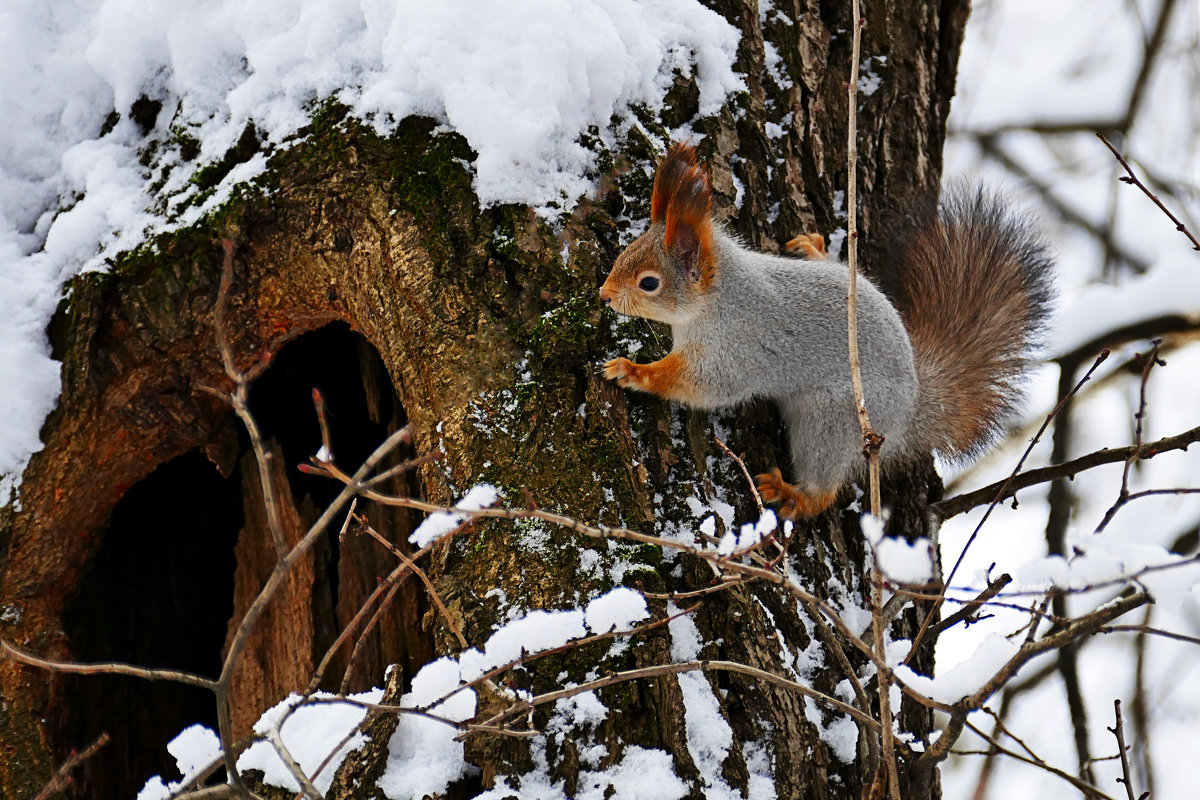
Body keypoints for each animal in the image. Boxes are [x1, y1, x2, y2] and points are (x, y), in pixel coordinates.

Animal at [597, 143, 1051, 520]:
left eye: (649, 283)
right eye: (625, 252)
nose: (604, 294)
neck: (718, 298)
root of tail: (911, 406)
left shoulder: (735, 349)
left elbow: (702, 386)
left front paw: (633, 371)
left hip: (830, 419)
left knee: (824, 489)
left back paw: (791, 494)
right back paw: (814, 251)